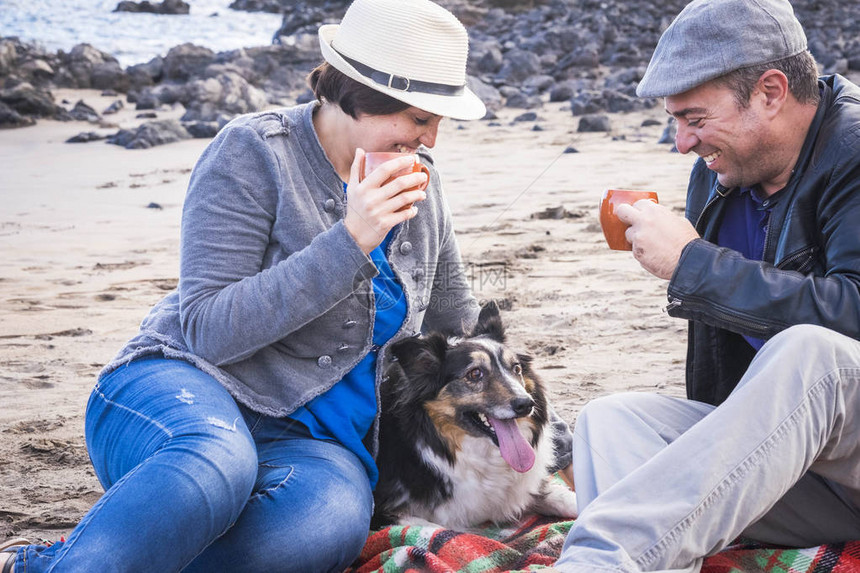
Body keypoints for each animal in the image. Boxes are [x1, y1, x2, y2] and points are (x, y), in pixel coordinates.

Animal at [372, 302, 576, 528]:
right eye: (475, 373)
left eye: (516, 368)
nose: (526, 404)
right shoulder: (383, 511)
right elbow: (436, 528)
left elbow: (562, 497)